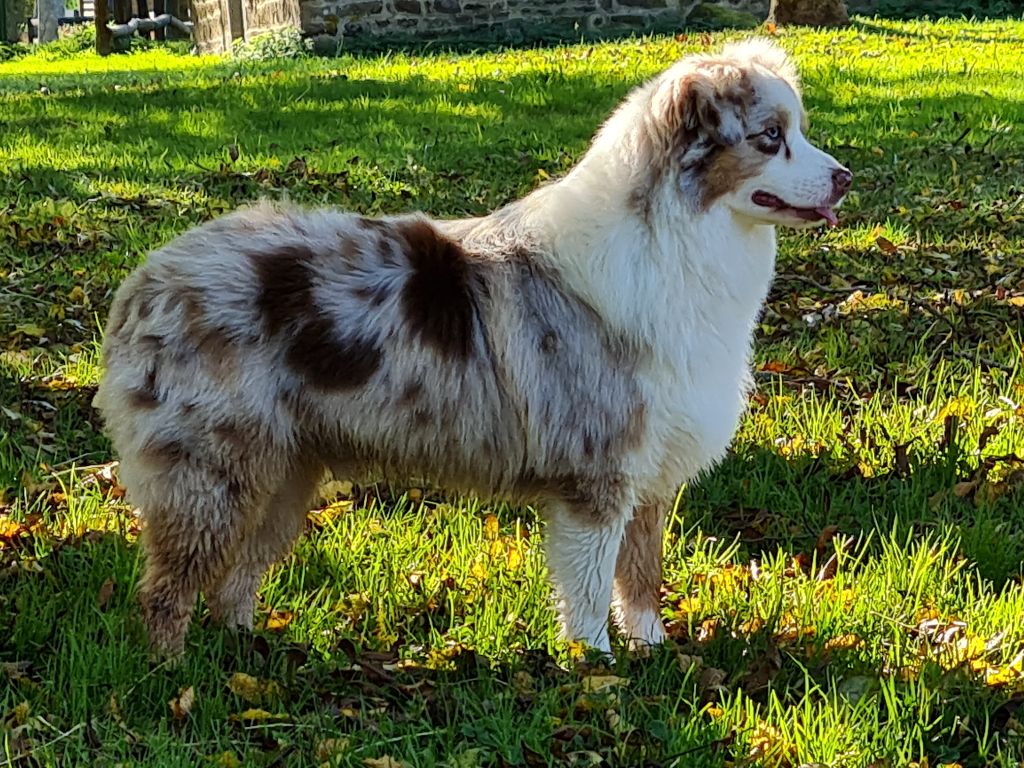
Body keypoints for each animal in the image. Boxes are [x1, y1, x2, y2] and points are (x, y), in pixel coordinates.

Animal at [94, 39, 847, 659]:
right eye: (771, 137)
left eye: (798, 132)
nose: (844, 177)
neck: (677, 240)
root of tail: (146, 277)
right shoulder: (596, 476)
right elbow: (589, 587)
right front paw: (600, 672)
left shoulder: (654, 471)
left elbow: (641, 577)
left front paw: (653, 652)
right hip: (211, 472)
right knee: (168, 587)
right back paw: (177, 680)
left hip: (286, 472)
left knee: (236, 574)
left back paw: (247, 650)